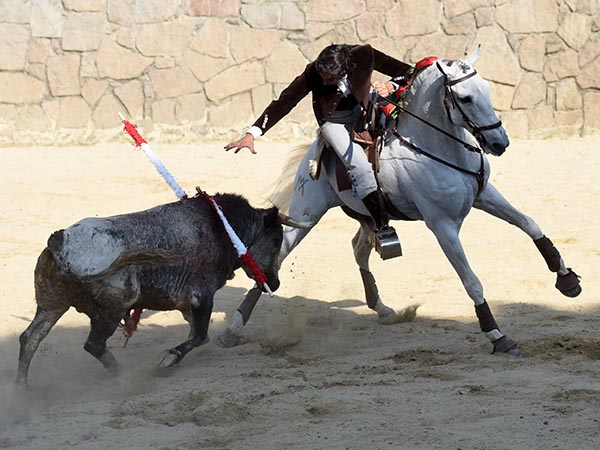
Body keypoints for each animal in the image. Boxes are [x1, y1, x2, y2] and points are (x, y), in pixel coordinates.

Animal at [221, 49, 580, 356]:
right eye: (465, 97)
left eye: (487, 88)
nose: (499, 143)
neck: (437, 147)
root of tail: (316, 148)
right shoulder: (442, 225)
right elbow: (472, 281)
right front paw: (497, 335)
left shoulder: (483, 194)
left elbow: (529, 223)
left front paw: (567, 280)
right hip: (306, 213)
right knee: (279, 256)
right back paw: (233, 329)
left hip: (366, 214)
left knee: (359, 248)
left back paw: (381, 307)